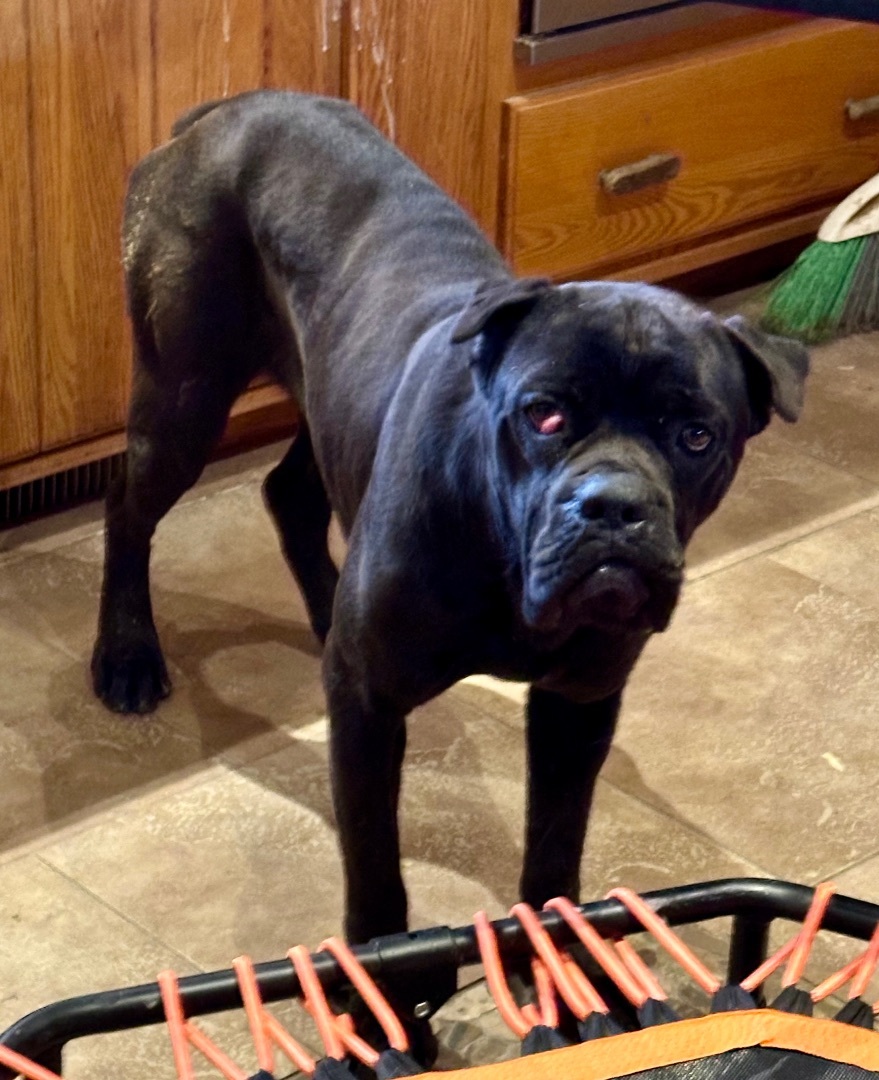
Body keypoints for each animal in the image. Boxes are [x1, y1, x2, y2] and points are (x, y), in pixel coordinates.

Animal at [92, 92, 807, 946]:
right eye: (544, 414)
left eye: (696, 435)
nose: (612, 505)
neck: (503, 555)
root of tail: (222, 110)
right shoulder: (368, 709)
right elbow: (374, 861)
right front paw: (379, 967)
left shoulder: (578, 706)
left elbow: (554, 850)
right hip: (184, 399)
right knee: (127, 509)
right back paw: (127, 654)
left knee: (289, 493)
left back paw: (322, 609)